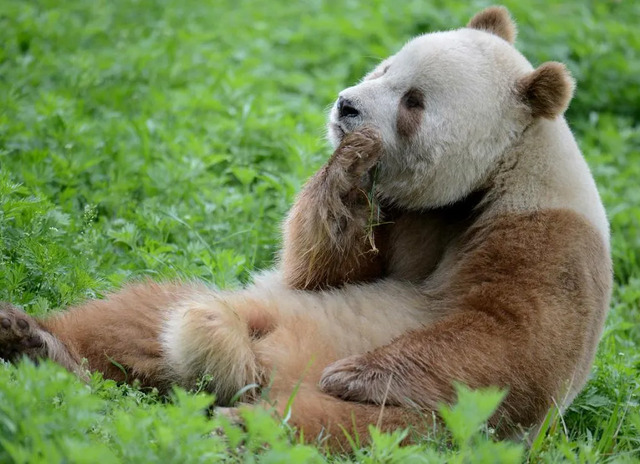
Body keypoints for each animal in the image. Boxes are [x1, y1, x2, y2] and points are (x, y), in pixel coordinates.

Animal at [0, 5, 608, 452]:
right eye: (385, 67)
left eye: (414, 102)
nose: (347, 107)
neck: (484, 180)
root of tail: (259, 369)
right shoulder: (401, 214)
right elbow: (321, 270)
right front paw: (348, 166)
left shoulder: (546, 235)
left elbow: (510, 340)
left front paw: (357, 374)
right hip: (253, 306)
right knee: (137, 317)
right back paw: (36, 343)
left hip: (426, 425)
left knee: (337, 428)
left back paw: (235, 426)